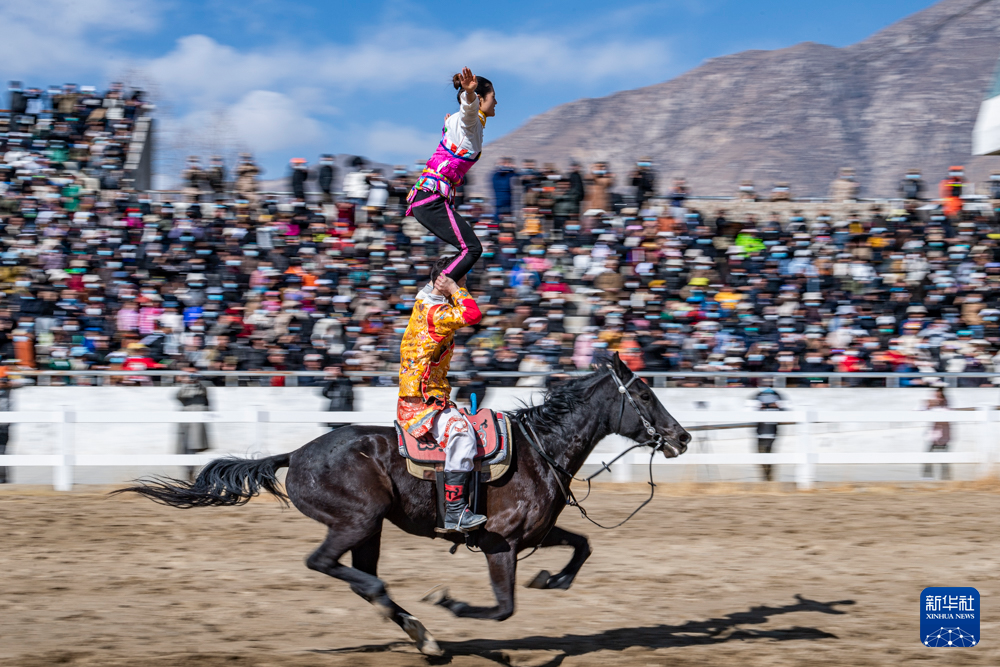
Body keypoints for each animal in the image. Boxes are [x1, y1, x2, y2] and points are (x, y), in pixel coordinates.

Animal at [119, 354, 688, 656]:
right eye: (644, 395)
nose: (681, 437)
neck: (536, 449)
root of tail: (296, 454)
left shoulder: (536, 534)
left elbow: (583, 545)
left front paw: (552, 578)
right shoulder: (498, 544)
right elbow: (502, 608)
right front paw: (452, 604)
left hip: (368, 531)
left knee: (357, 575)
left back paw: (420, 634)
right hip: (357, 521)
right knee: (327, 565)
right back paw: (420, 628)